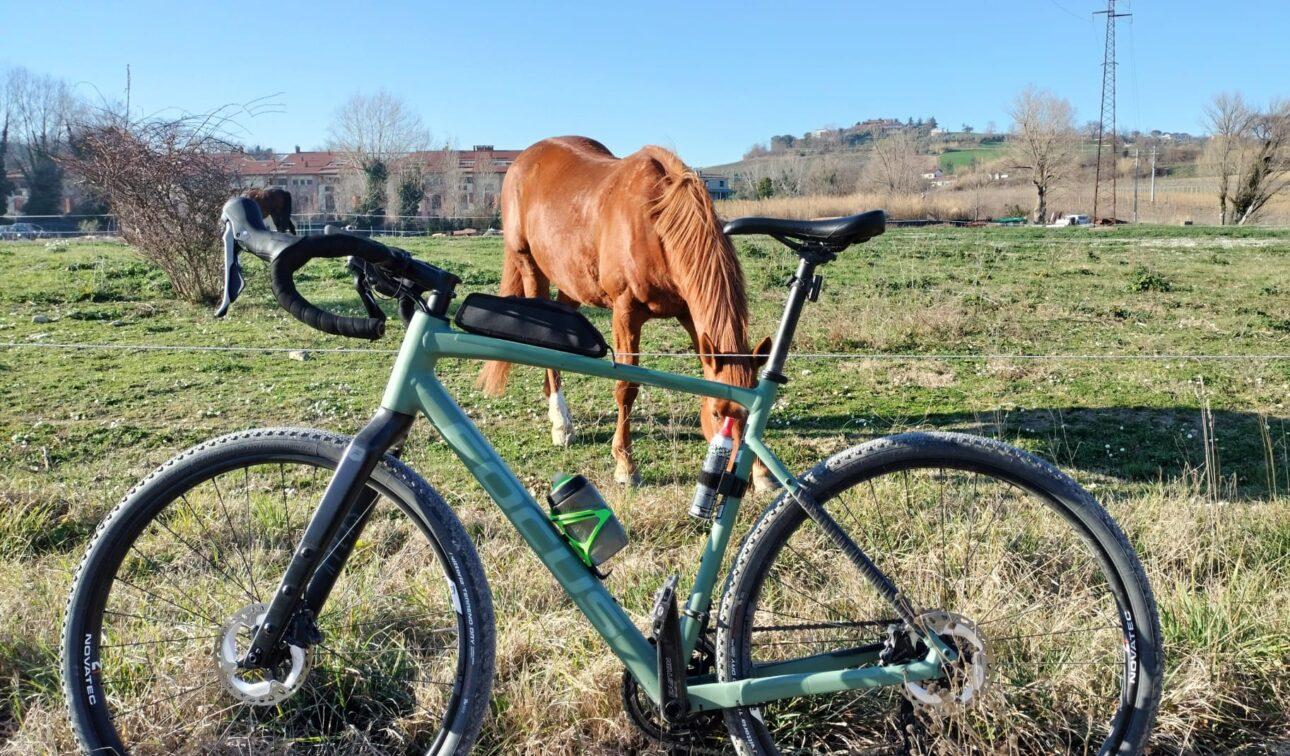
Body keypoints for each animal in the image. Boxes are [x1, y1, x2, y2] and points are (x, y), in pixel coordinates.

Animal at [479, 134, 768, 485]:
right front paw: (625, 465)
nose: (735, 477)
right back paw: (560, 423)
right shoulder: (625, 312)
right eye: (716, 412)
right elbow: (627, 388)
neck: (656, 225)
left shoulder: (688, 314)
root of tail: (523, 160)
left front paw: (763, 472)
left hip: (573, 281)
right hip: (530, 267)